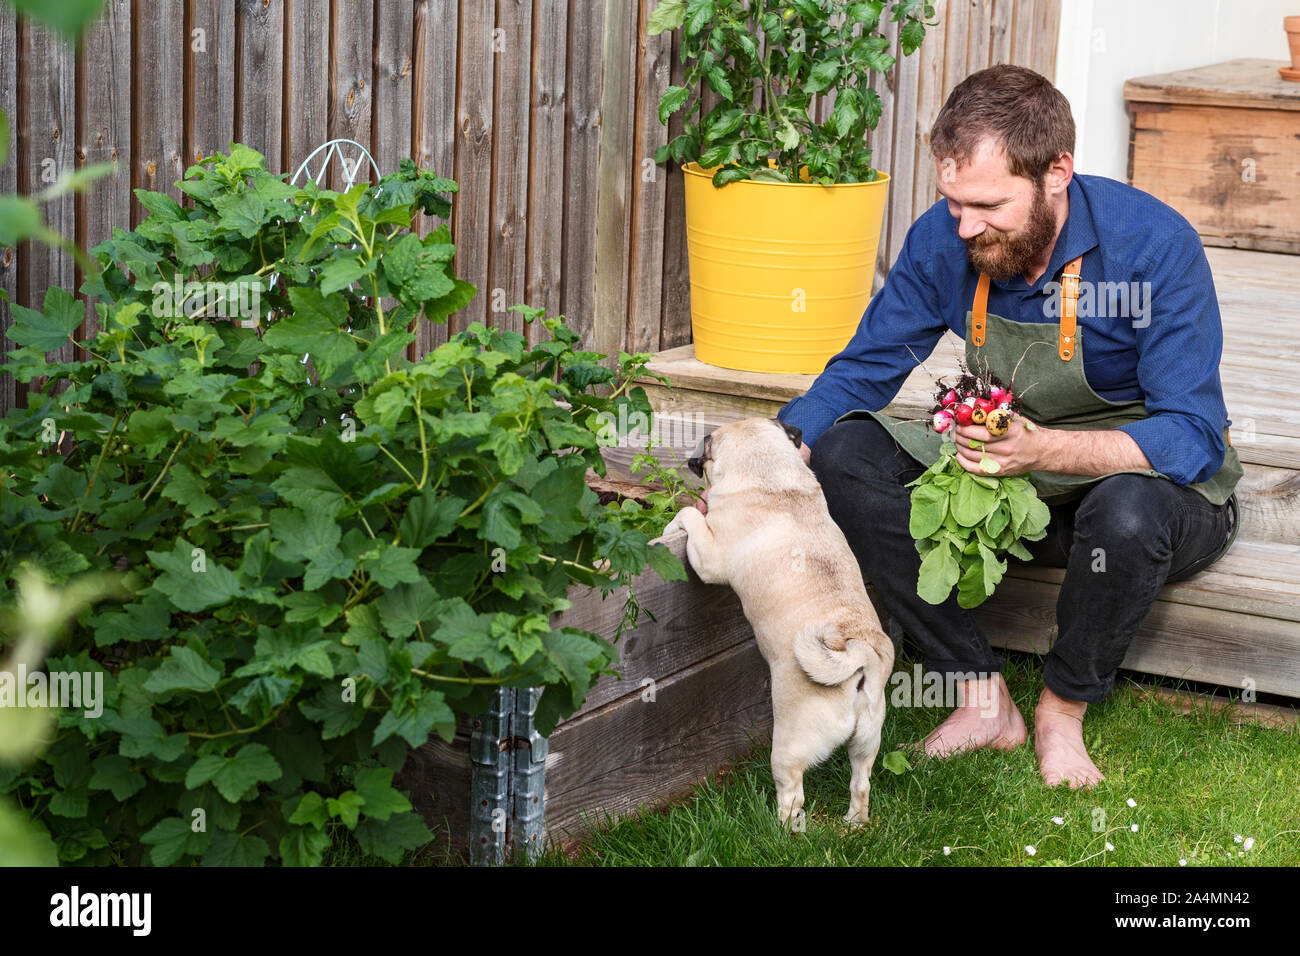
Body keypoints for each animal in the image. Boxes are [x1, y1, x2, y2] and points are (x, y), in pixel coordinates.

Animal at [665, 418, 899, 832]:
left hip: (789, 747)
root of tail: (858, 658)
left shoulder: (710, 558)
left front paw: (678, 518)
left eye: (706, 444)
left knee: (793, 795)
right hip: (868, 739)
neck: (768, 473)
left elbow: (692, 518)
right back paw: (854, 824)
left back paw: (782, 831)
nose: (693, 457)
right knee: (861, 783)